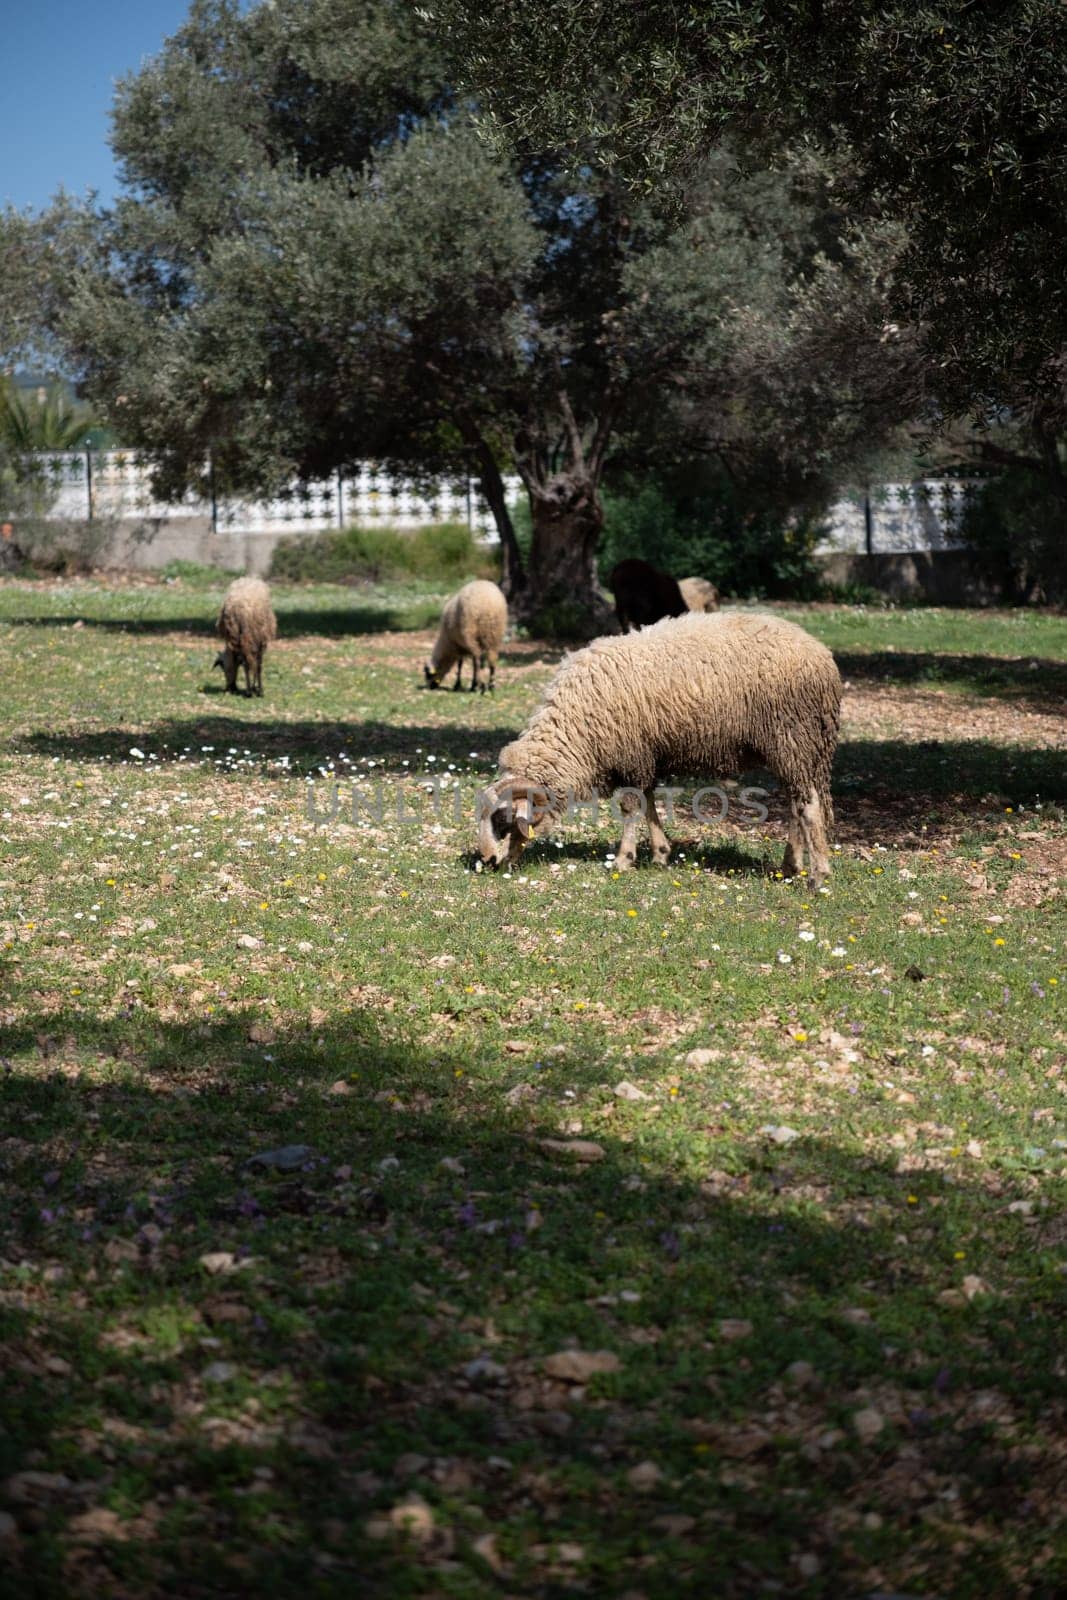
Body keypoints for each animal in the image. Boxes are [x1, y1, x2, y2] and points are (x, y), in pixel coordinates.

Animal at [483, 611, 844, 889]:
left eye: (502, 820)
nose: (487, 861)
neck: (577, 731)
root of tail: (823, 659)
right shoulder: (644, 754)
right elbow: (649, 802)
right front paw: (659, 854)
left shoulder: (630, 752)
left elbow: (630, 807)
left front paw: (624, 860)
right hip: (800, 749)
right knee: (797, 804)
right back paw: (791, 866)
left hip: (792, 737)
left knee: (808, 806)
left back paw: (818, 875)